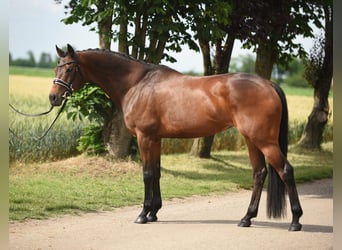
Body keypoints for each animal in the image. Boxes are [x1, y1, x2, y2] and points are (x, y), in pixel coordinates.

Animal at [50, 44, 302, 230]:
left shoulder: (144, 137)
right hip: (252, 140)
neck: (137, 83)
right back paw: (246, 219)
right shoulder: (156, 139)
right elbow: (157, 172)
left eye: (69, 69)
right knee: (259, 173)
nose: (53, 98)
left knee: (286, 171)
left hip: (264, 141)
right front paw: (154, 212)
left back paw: (295, 221)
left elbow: (147, 174)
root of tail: (268, 83)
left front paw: (143, 213)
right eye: (56, 69)